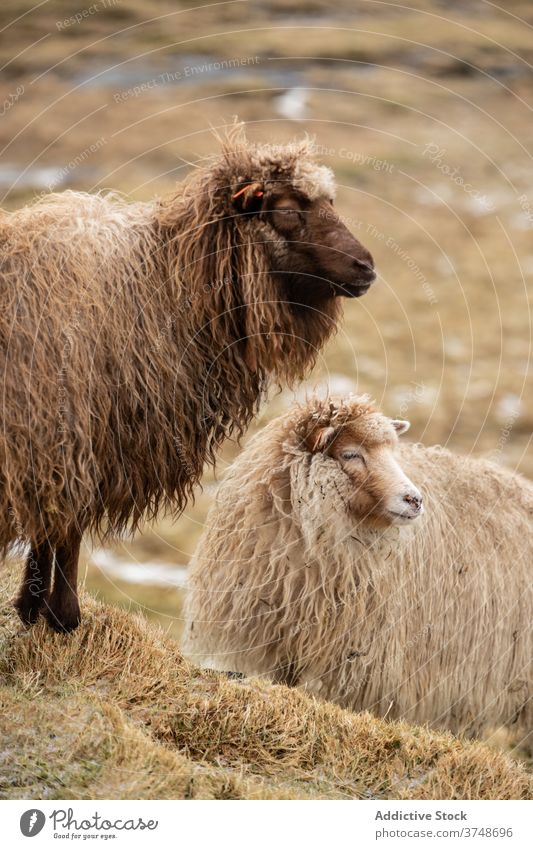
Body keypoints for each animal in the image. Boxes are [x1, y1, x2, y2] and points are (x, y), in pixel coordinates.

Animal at [1, 129, 374, 632]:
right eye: (286, 208)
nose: (366, 267)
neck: (168, 281)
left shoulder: (54, 445)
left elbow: (52, 524)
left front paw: (33, 607)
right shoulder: (73, 430)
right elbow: (67, 525)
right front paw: (62, 615)